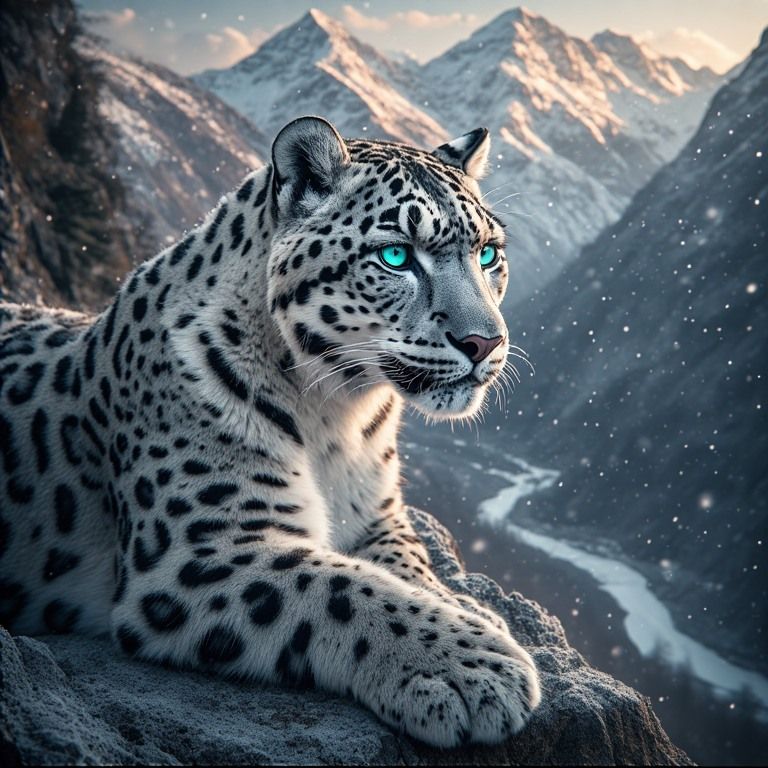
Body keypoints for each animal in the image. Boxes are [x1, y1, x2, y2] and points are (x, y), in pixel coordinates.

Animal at [0, 116, 540, 748]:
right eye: (395, 255)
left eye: (488, 254)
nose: (486, 342)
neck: (340, 417)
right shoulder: (198, 550)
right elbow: (344, 589)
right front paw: (471, 668)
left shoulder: (380, 516)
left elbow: (407, 566)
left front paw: (469, 610)